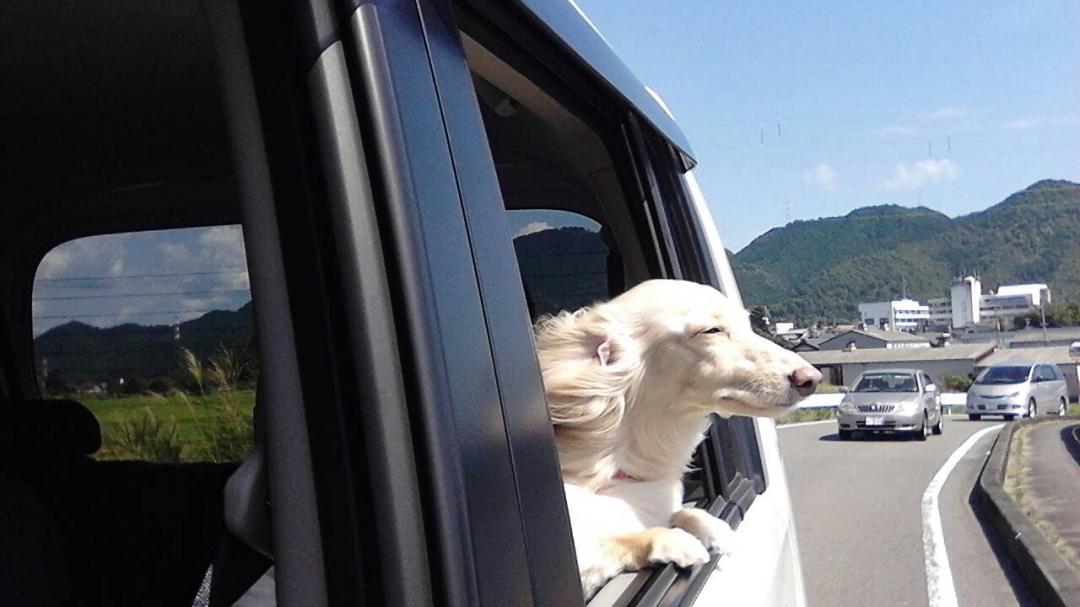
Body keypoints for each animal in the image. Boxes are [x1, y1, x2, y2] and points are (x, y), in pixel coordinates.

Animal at [535, 278, 820, 596]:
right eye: (711, 330)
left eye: (748, 325)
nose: (812, 378)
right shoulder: (578, 569)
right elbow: (619, 539)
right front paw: (676, 540)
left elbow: (683, 513)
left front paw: (715, 530)